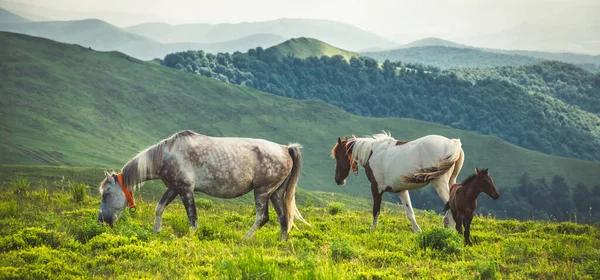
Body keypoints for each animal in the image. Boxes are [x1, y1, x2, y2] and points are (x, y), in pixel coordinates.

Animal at [98, 130, 310, 240]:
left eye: (106, 194)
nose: (101, 220)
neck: (168, 154)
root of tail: (285, 149)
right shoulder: (173, 188)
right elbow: (159, 207)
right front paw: (156, 231)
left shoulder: (185, 190)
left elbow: (192, 218)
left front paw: (190, 237)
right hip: (276, 193)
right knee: (283, 218)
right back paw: (281, 242)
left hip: (262, 192)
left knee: (263, 217)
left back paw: (244, 239)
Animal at [332, 133, 464, 232]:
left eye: (338, 156)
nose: (338, 179)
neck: (372, 153)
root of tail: (453, 143)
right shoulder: (401, 191)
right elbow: (410, 213)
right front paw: (418, 231)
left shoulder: (376, 189)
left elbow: (376, 211)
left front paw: (373, 229)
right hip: (451, 182)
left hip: (440, 184)